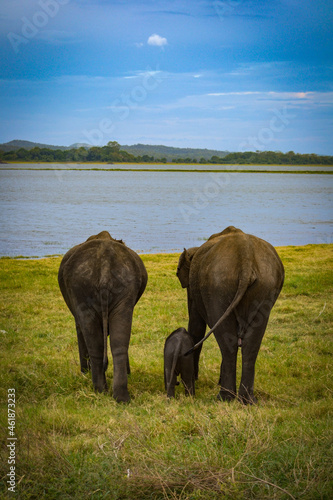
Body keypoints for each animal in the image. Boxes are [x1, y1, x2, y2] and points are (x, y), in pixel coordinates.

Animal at [58, 230, 147, 402]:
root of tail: (105, 266)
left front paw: (84, 373)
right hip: (118, 288)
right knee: (118, 341)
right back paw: (119, 397)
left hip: (82, 289)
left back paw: (101, 390)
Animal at [176, 226, 282, 402]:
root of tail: (246, 259)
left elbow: (196, 326)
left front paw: (194, 379)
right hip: (265, 286)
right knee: (250, 345)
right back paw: (247, 400)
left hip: (217, 286)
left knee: (227, 342)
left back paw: (225, 397)